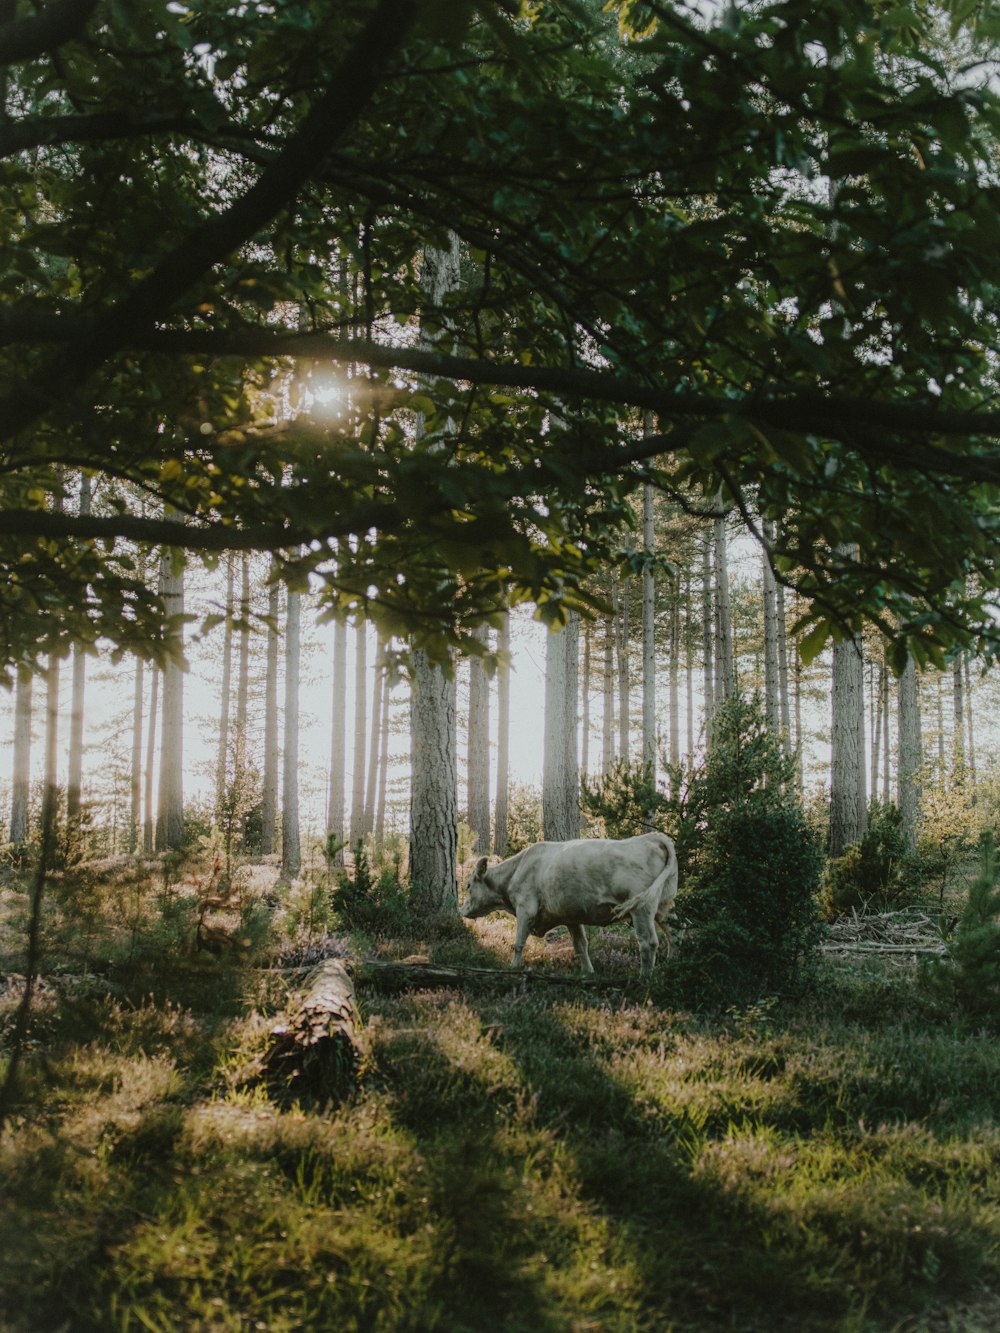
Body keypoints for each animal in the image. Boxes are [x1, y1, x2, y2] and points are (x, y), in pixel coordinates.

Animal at [461, 831, 682, 981]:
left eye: (469, 885)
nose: (462, 910)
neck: (516, 870)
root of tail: (652, 837)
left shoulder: (525, 908)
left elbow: (518, 943)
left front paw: (514, 967)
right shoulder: (571, 917)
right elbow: (580, 945)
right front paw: (588, 972)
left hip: (641, 908)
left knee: (648, 942)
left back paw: (644, 979)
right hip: (665, 905)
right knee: (675, 932)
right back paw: (672, 965)